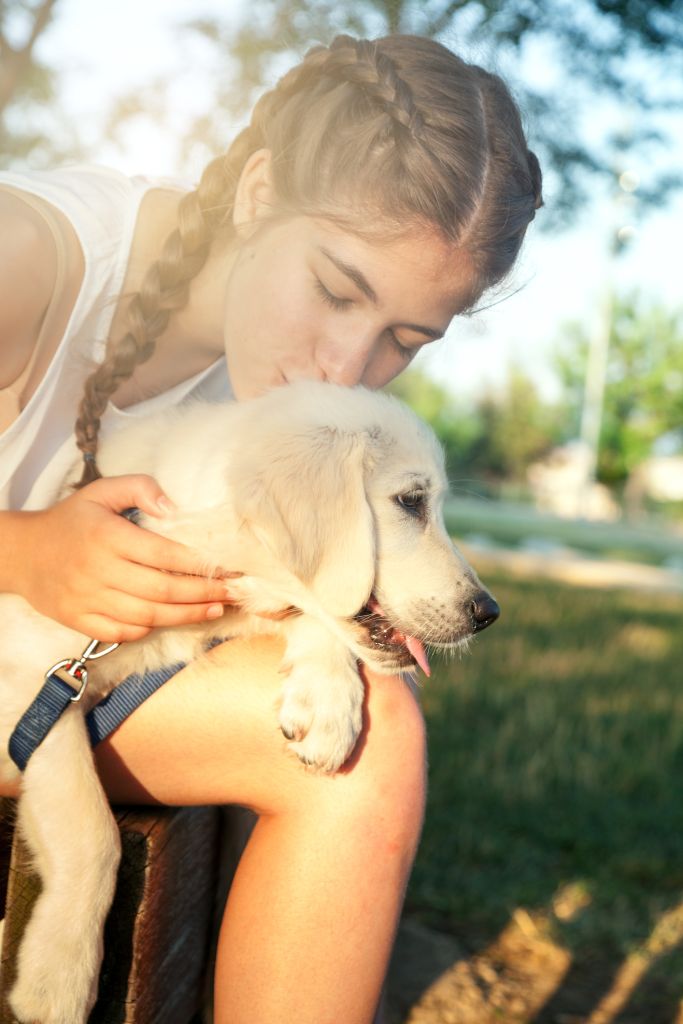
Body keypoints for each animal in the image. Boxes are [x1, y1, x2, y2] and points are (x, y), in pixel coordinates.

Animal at [0, 380, 497, 1019]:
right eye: (411, 501)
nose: (488, 613)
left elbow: (316, 617)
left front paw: (327, 702)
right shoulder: (36, 677)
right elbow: (91, 828)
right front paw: (57, 976)